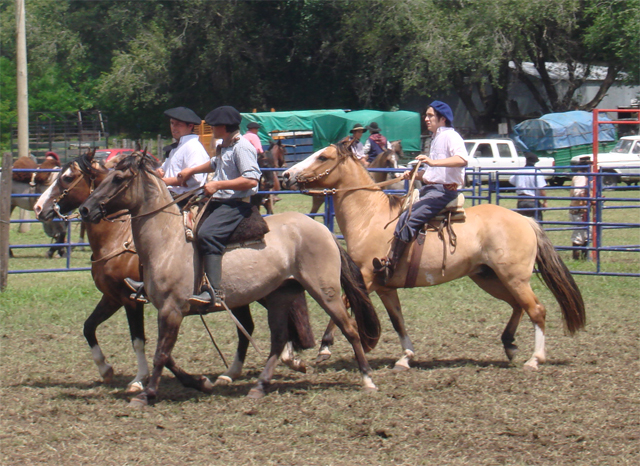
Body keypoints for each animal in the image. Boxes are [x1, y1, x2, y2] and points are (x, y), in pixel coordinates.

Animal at [32, 149, 318, 394]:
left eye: (67, 177)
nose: (38, 208)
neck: (119, 239)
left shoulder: (130, 300)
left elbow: (140, 340)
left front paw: (139, 380)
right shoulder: (112, 297)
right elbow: (88, 327)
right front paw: (105, 369)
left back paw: (286, 359)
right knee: (249, 325)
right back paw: (242, 371)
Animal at [78, 152, 382, 404]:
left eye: (118, 179)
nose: (84, 209)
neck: (167, 242)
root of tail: (324, 230)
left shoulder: (171, 309)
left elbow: (161, 354)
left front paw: (147, 393)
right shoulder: (160, 308)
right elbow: (165, 354)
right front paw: (198, 382)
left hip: (325, 291)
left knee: (350, 329)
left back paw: (367, 379)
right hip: (281, 293)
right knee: (278, 339)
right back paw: (259, 385)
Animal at [282, 140, 588, 374]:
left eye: (323, 156)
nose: (286, 175)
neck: (370, 217)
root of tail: (526, 221)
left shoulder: (366, 277)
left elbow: (342, 307)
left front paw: (323, 347)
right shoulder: (384, 286)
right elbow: (397, 320)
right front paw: (406, 357)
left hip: (513, 277)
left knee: (536, 310)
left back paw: (534, 359)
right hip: (489, 277)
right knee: (518, 306)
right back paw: (509, 344)